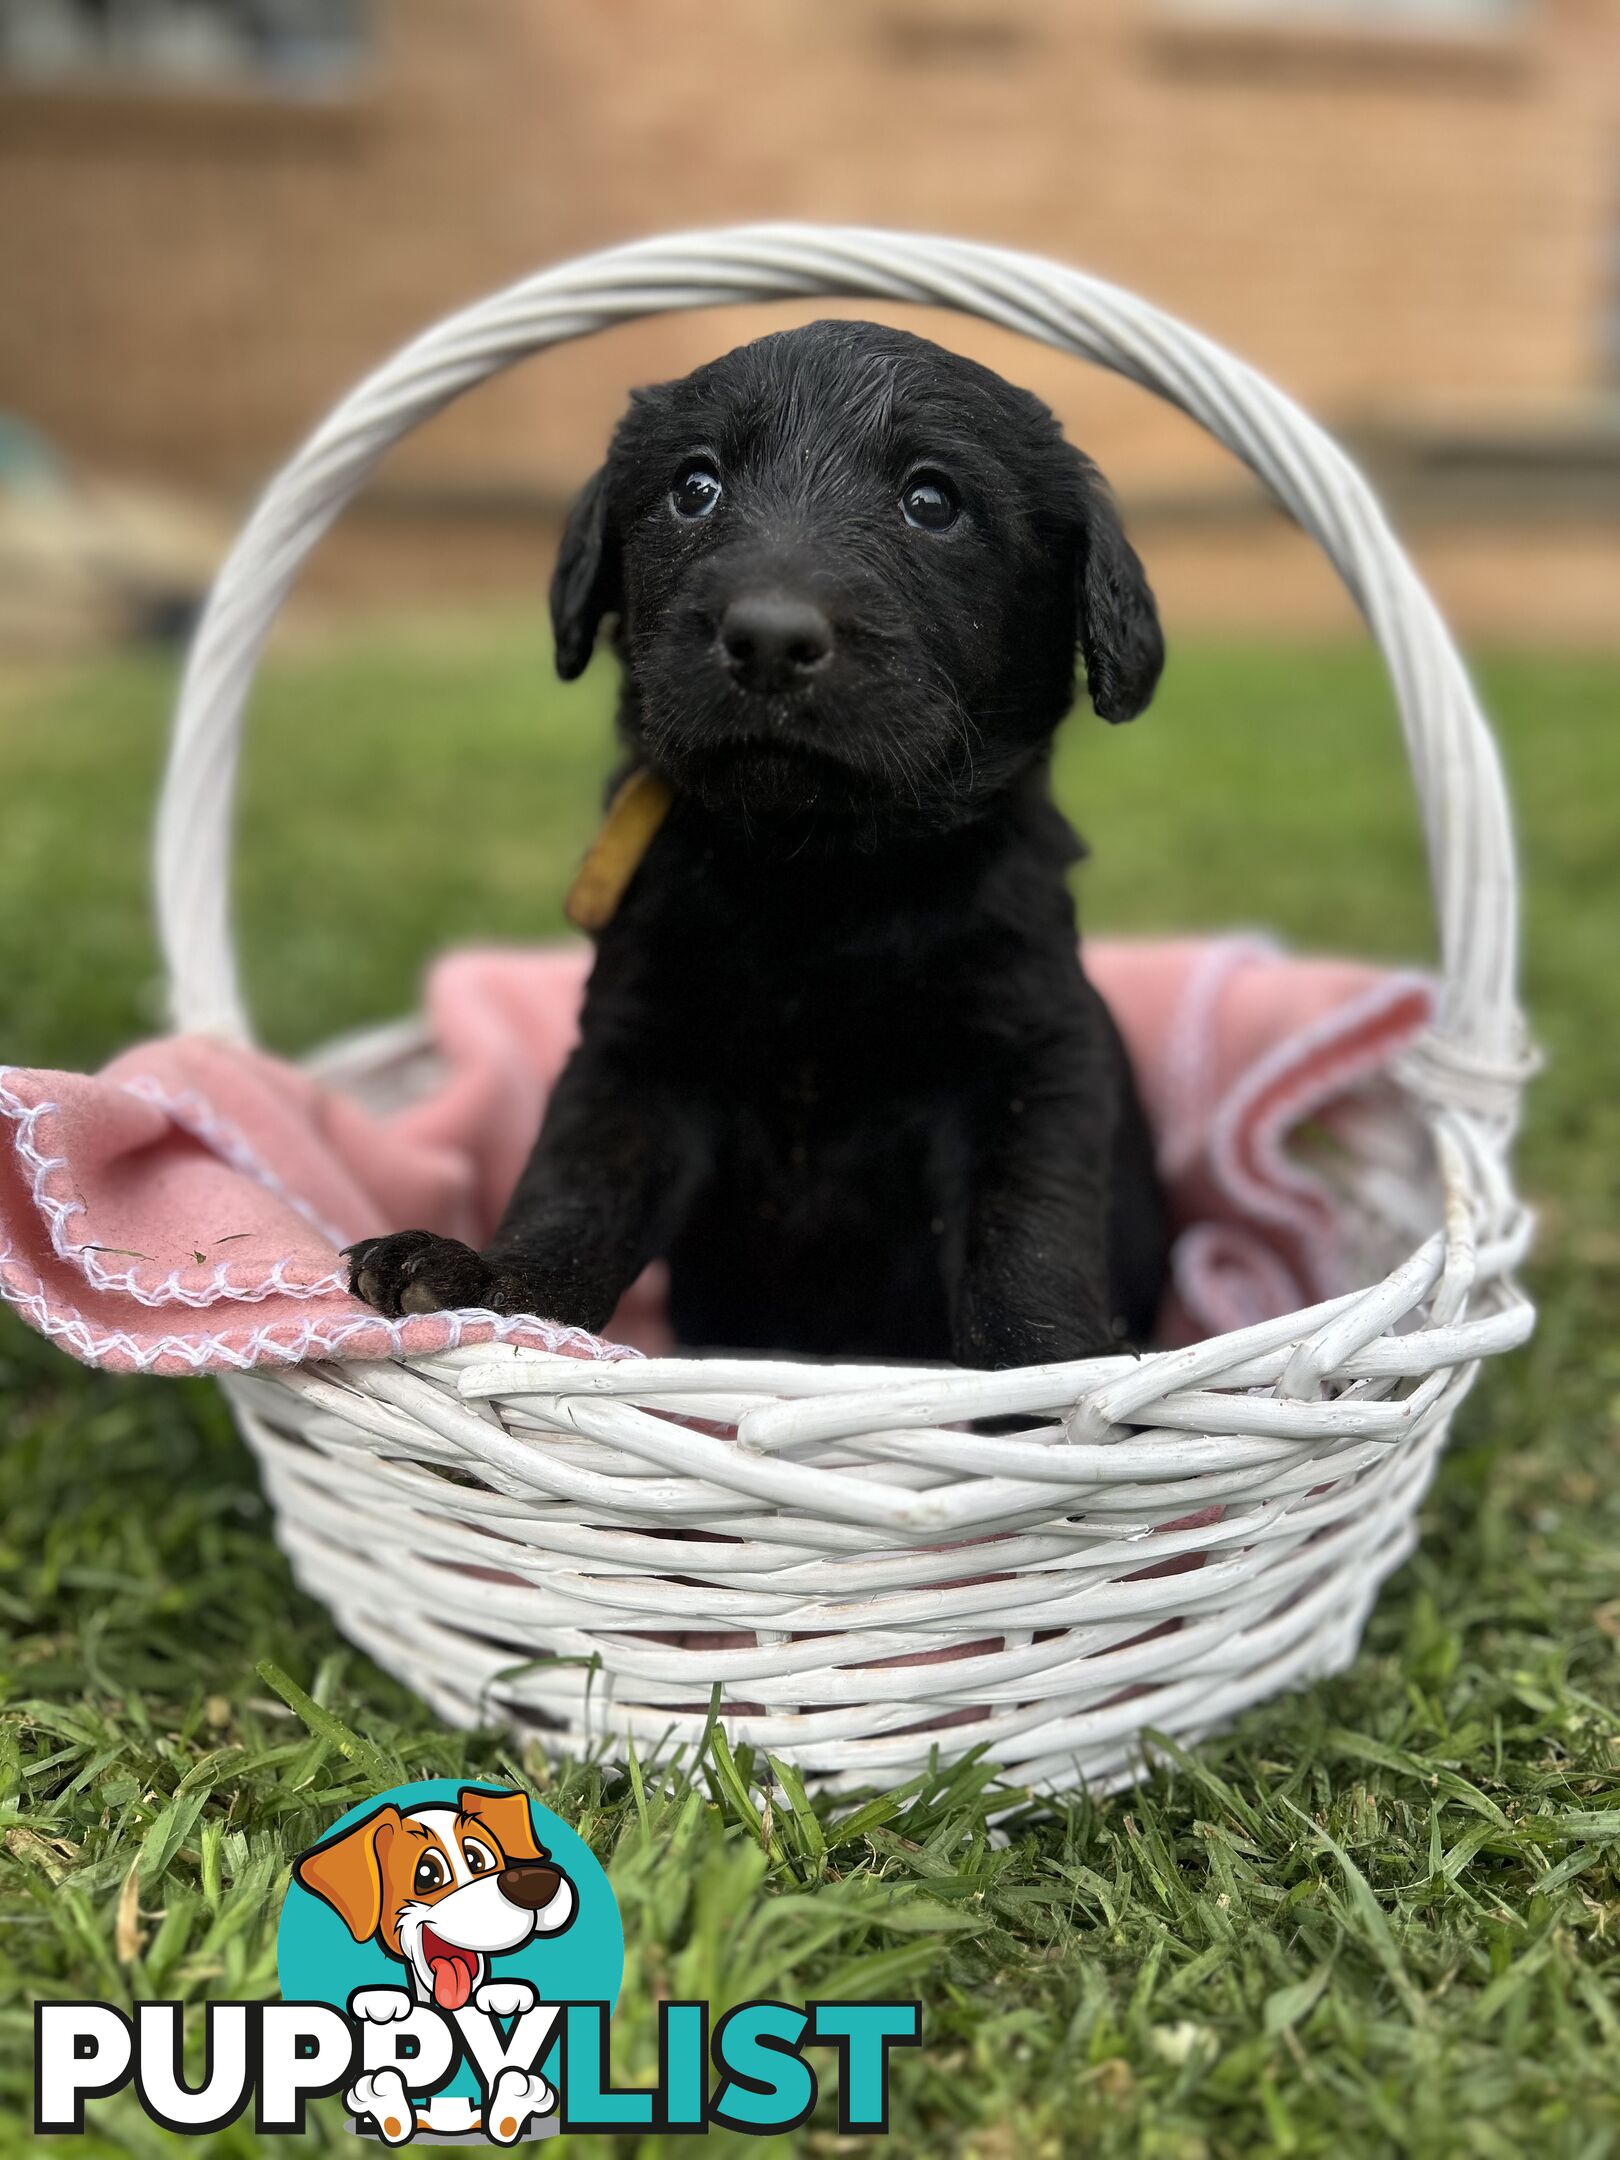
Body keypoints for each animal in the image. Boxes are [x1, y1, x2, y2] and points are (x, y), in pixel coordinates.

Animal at [352, 319, 1166, 1365]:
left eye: (932, 501)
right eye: (695, 487)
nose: (770, 639)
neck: (814, 873)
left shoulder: (1032, 1058)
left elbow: (1027, 1227)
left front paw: (1047, 1360)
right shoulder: (639, 1053)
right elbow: (580, 1184)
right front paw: (492, 1282)